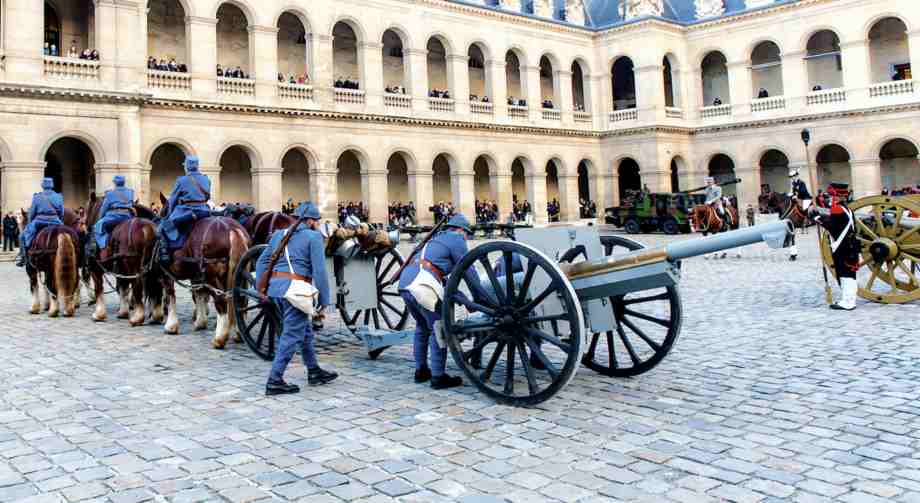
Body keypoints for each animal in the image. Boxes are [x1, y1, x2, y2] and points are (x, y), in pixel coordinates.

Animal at [83, 195, 161, 324]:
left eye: (86, 210)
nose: (84, 225)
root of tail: (146, 228)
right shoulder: (121, 270)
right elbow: (123, 288)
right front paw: (123, 312)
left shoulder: (96, 269)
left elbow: (99, 289)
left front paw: (99, 314)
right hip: (152, 268)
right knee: (155, 287)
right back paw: (156, 316)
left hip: (135, 268)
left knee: (138, 286)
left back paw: (138, 317)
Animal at [158, 195, 250, 348]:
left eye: (163, 211)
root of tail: (231, 229)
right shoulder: (196, 275)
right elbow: (199, 294)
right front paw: (200, 322)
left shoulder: (167, 274)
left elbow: (171, 296)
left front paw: (171, 326)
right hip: (238, 274)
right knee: (238, 299)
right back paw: (238, 333)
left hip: (212, 275)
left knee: (221, 300)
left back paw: (219, 338)